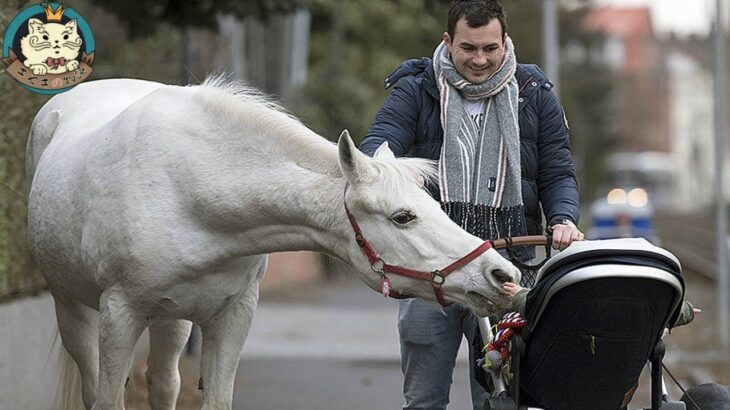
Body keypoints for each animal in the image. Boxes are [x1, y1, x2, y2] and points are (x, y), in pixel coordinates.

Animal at [27, 77, 516, 410]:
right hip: (73, 308)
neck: (189, 189)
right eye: (403, 217)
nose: (502, 275)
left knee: (164, 383)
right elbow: (108, 398)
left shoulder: (233, 316)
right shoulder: (119, 313)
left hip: (171, 320)